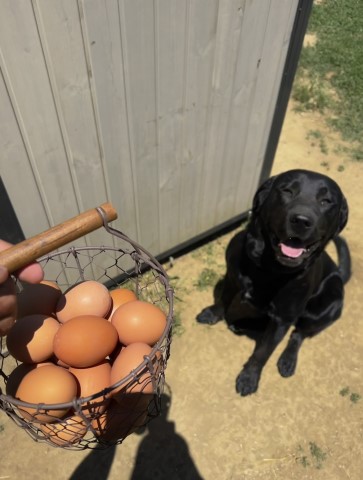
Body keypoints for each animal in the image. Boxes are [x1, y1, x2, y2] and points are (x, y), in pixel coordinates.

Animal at [198, 171, 352, 396]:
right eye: (287, 190)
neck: (269, 269)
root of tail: (340, 275)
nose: (301, 221)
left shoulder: (282, 319)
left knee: (299, 334)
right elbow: (223, 301)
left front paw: (249, 377)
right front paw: (211, 313)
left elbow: (263, 352)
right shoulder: (232, 278)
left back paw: (287, 360)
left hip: (325, 307)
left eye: (326, 201)